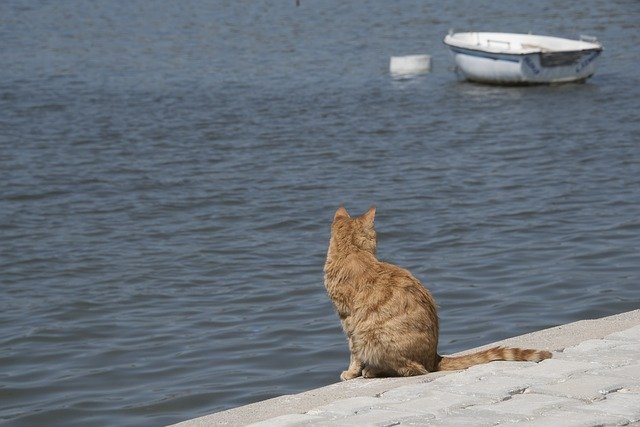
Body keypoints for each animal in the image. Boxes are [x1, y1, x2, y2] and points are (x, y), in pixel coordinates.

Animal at [322, 207, 552, 382]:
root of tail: (434, 358)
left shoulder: (349, 321)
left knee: (412, 369)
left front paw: (351, 372)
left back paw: (372, 371)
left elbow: (353, 353)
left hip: (371, 336)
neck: (352, 252)